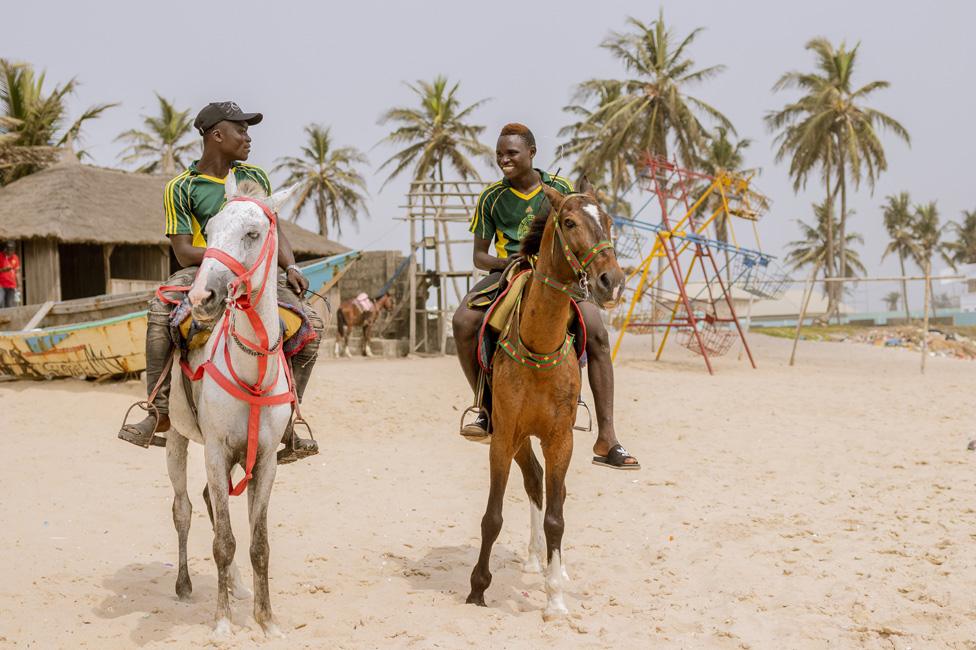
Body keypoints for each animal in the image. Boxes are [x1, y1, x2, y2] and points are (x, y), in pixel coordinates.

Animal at [167, 173, 298, 636]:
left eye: (253, 234)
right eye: (211, 228)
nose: (202, 297)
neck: (251, 372)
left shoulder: (266, 460)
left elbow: (259, 544)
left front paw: (266, 620)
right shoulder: (216, 450)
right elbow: (223, 541)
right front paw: (223, 623)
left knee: (208, 500)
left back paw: (238, 586)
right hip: (176, 438)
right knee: (184, 509)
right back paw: (185, 585)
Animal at [466, 181, 624, 616]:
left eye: (608, 221)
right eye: (569, 222)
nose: (612, 281)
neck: (539, 344)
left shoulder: (560, 439)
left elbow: (557, 516)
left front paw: (555, 598)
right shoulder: (504, 438)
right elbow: (492, 517)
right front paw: (477, 588)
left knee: (553, 494)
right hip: (518, 438)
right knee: (534, 481)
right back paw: (535, 558)